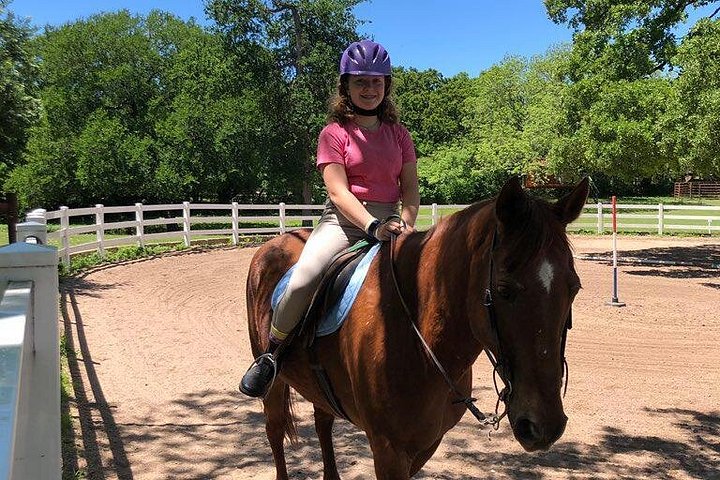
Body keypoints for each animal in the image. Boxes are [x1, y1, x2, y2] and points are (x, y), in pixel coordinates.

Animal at [244, 176, 589, 479]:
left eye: (574, 288)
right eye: (504, 290)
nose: (545, 425)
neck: (420, 340)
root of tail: (276, 242)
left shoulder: (426, 444)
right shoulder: (388, 450)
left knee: (323, 423)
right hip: (273, 385)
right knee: (274, 430)